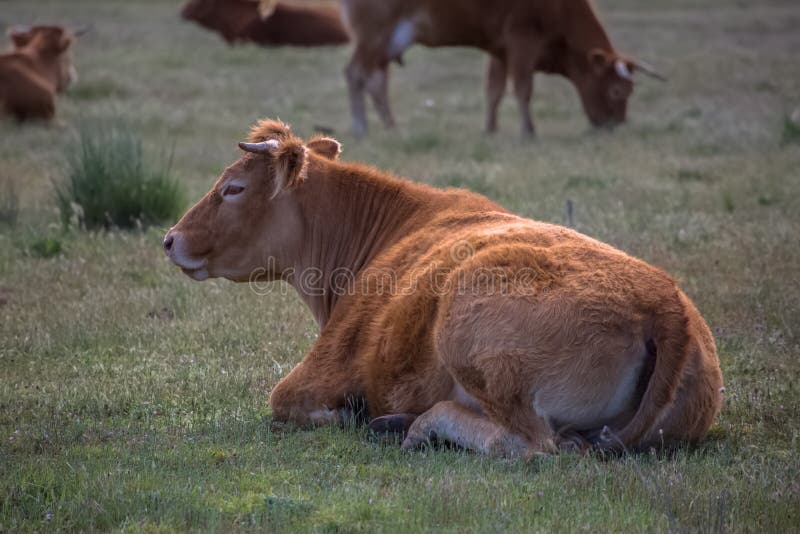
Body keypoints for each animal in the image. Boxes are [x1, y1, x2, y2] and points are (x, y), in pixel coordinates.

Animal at [163, 119, 723, 457]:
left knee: (530, 443)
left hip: (467, 332)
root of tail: (665, 302)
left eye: (233, 188)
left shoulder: (320, 370)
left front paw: (350, 414)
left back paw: (412, 425)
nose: (171, 239)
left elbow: (284, 401)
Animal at [340, 0, 664, 137]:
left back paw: (390, 126)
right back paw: (360, 126)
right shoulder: (522, 41)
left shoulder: (500, 50)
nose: (616, 124)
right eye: (617, 90)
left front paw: (491, 128)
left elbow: (494, 90)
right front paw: (528, 131)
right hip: (375, 33)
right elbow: (522, 88)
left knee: (375, 80)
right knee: (356, 74)